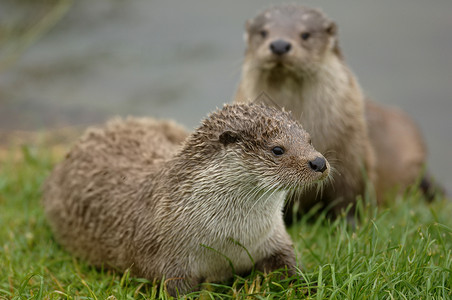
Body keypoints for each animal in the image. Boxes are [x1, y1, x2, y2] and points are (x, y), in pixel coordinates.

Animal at [43, 103, 332, 296]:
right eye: (277, 149)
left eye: (309, 139)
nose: (319, 162)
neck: (230, 239)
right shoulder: (168, 262)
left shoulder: (274, 239)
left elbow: (290, 267)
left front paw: (306, 287)